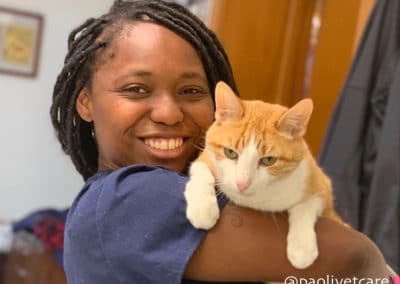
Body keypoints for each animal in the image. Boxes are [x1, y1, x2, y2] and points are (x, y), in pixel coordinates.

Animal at [184, 80, 344, 270]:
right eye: (230, 153)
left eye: (269, 160)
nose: (242, 183)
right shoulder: (206, 157)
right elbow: (201, 172)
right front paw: (203, 209)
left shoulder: (321, 185)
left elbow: (306, 207)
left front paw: (302, 247)